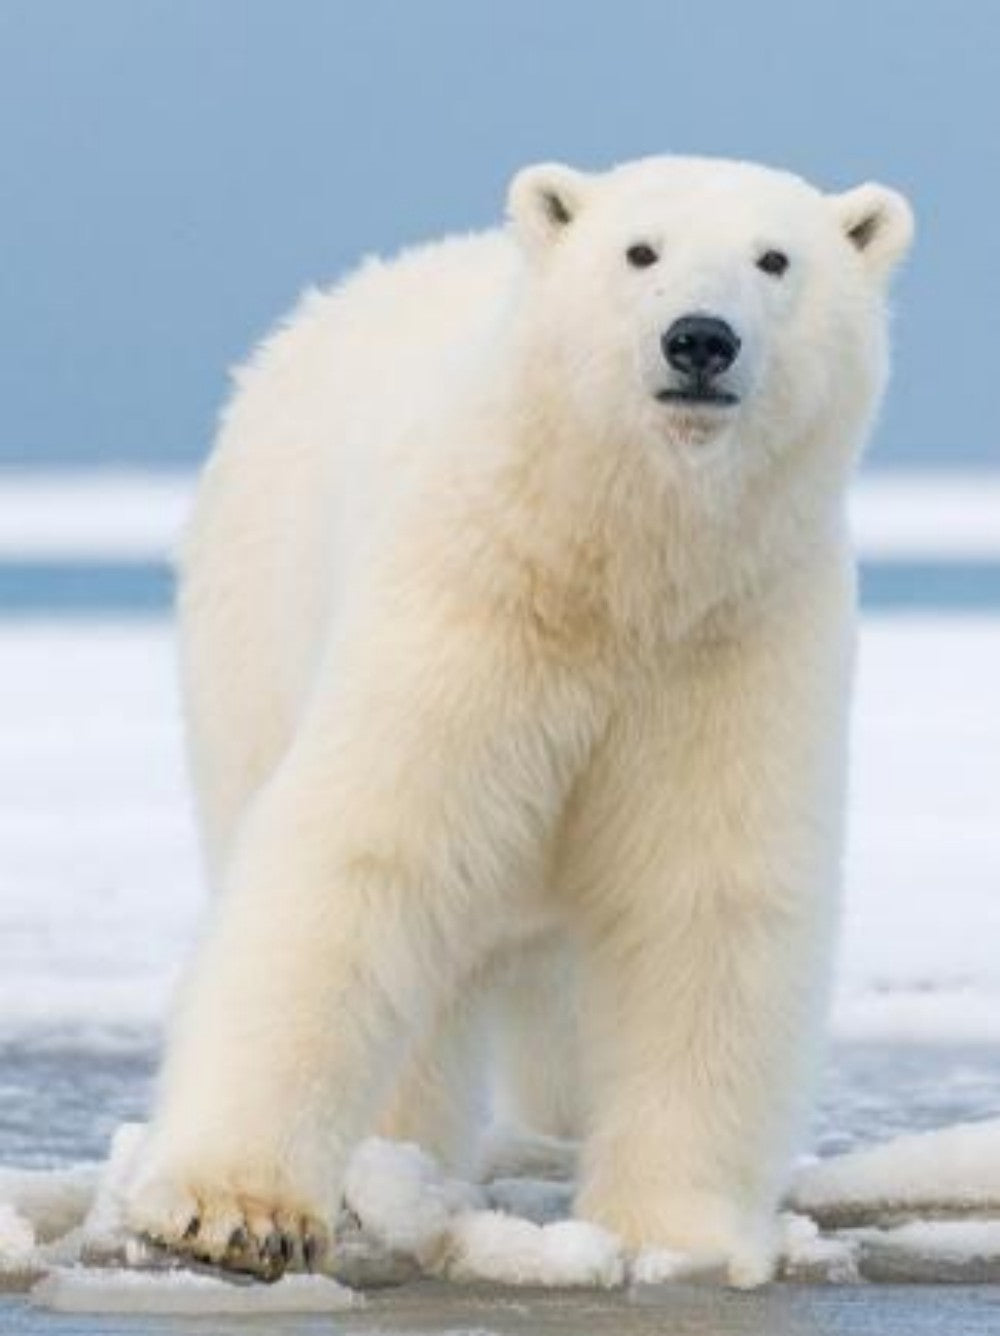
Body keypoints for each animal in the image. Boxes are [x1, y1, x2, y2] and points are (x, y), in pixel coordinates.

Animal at [125, 155, 913, 1286]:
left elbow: (704, 898)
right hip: (252, 632)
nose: (700, 339)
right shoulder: (472, 606)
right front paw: (233, 1211)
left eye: (776, 259)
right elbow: (362, 857)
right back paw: (398, 1161)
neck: (618, 565)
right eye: (640, 250)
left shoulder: (732, 644)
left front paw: (676, 1234)